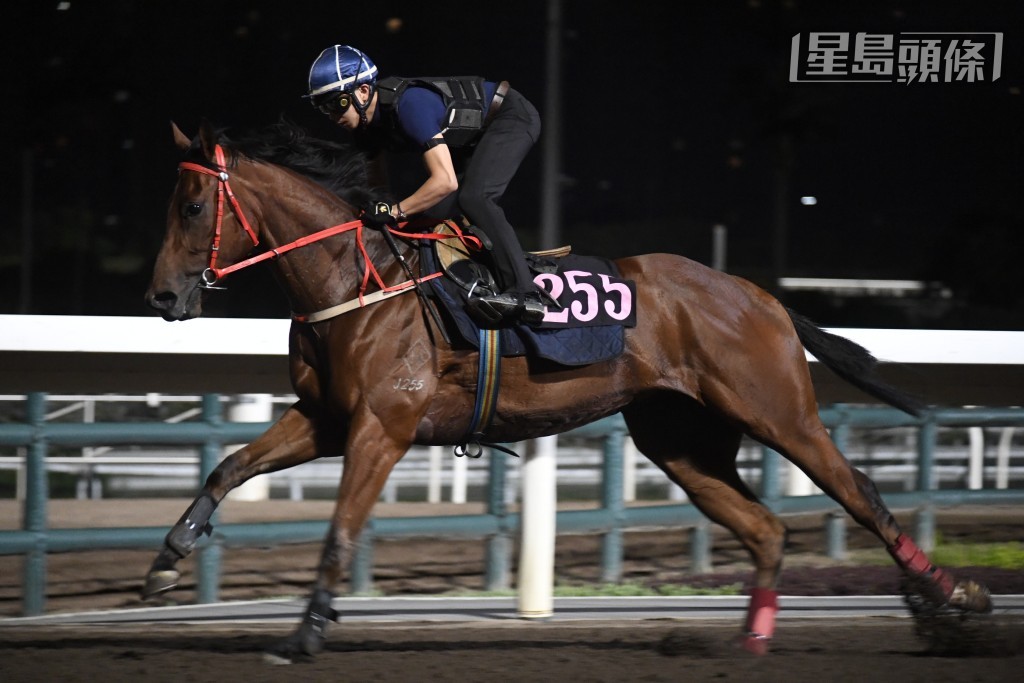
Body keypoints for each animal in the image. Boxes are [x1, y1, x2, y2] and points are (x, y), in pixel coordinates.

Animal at [144, 118, 991, 663]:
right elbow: (227, 466)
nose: (161, 296)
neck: (358, 281)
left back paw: (955, 601)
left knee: (864, 497)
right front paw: (167, 558)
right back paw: (751, 639)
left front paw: (305, 633)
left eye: (192, 206)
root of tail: (765, 297)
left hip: (780, 412)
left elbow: (339, 530)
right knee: (767, 530)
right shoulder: (326, 417)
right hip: (681, 442)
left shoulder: (382, 425)